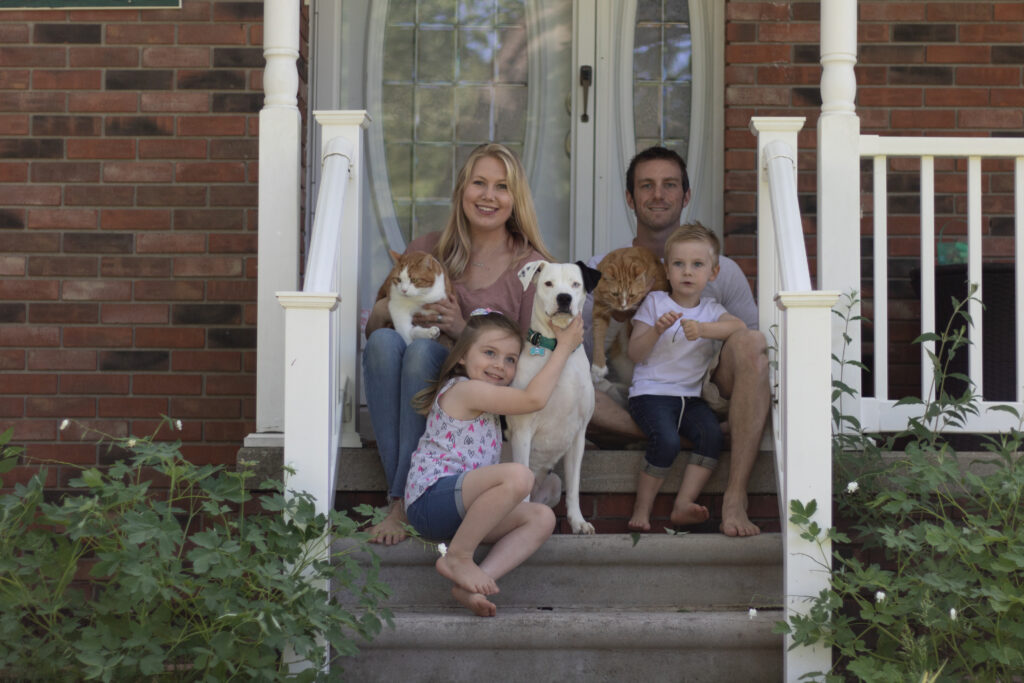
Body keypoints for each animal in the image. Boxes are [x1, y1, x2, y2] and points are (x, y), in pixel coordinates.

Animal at [507, 260, 602, 532]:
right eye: (548, 283)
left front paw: (578, 521)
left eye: (575, 284)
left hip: (552, 486)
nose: (564, 298)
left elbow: (574, 485)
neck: (559, 353)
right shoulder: (522, 433)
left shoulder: (579, 436)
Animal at [589, 246, 667, 385]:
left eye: (632, 295)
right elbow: (598, 335)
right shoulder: (599, 308)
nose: (623, 306)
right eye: (615, 294)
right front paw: (598, 367)